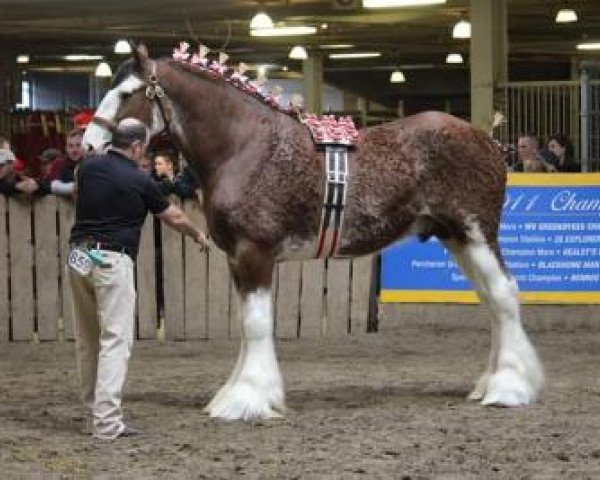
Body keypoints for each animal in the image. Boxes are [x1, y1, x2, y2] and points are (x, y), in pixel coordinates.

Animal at [82, 44, 548, 420]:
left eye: (127, 93)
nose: (88, 147)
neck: (246, 146)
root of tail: (488, 140)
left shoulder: (254, 253)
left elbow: (256, 324)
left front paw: (247, 400)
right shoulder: (238, 258)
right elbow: (248, 326)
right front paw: (239, 393)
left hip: (475, 233)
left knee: (503, 294)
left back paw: (508, 389)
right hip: (456, 237)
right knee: (493, 301)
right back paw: (489, 384)